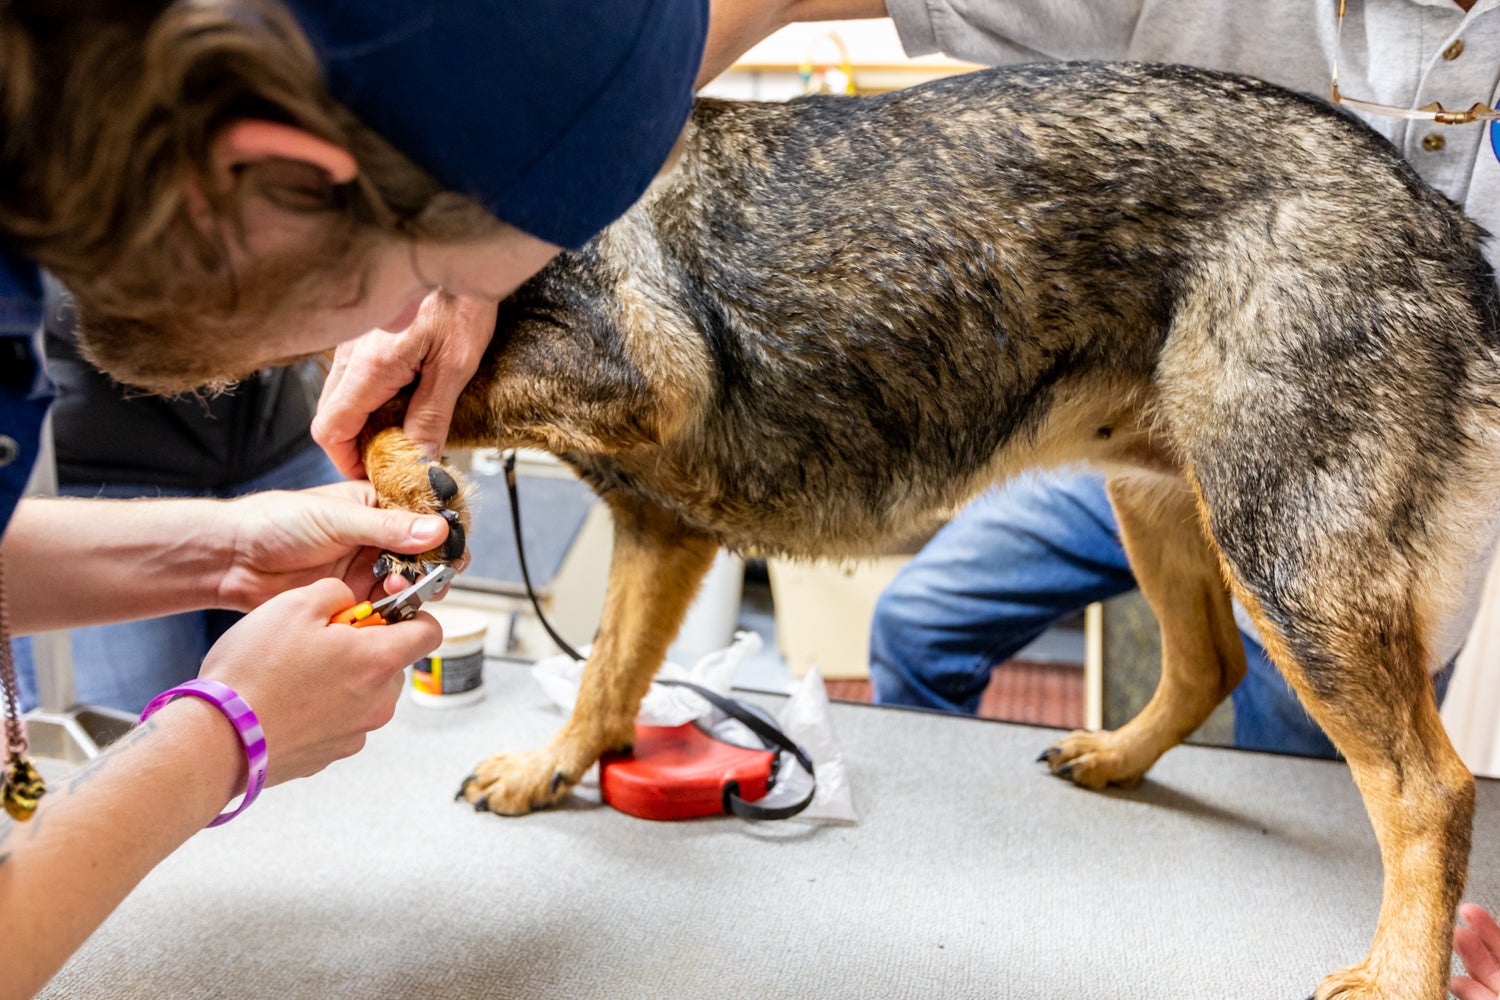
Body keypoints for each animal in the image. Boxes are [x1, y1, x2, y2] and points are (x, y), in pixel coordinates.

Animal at [360, 64, 1500, 1000]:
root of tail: (1436, 217)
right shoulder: (660, 535)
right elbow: (608, 676)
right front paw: (553, 767)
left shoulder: (638, 370)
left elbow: (400, 398)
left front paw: (399, 458)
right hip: (1168, 511)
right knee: (1207, 666)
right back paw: (1117, 757)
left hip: (1286, 556)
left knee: (1428, 788)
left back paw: (1400, 976)